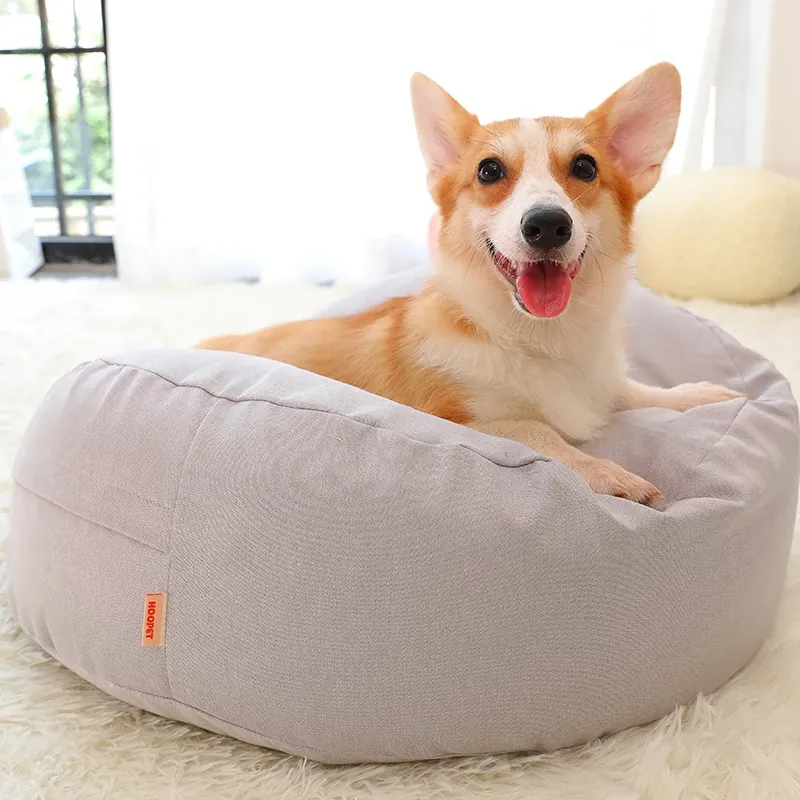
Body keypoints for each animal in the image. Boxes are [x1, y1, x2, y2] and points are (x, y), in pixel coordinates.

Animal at [197, 63, 743, 504]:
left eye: (586, 167)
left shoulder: (603, 385)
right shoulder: (463, 420)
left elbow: (632, 391)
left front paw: (695, 395)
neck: (542, 340)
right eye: (489, 171)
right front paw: (610, 473)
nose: (547, 224)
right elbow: (541, 432)